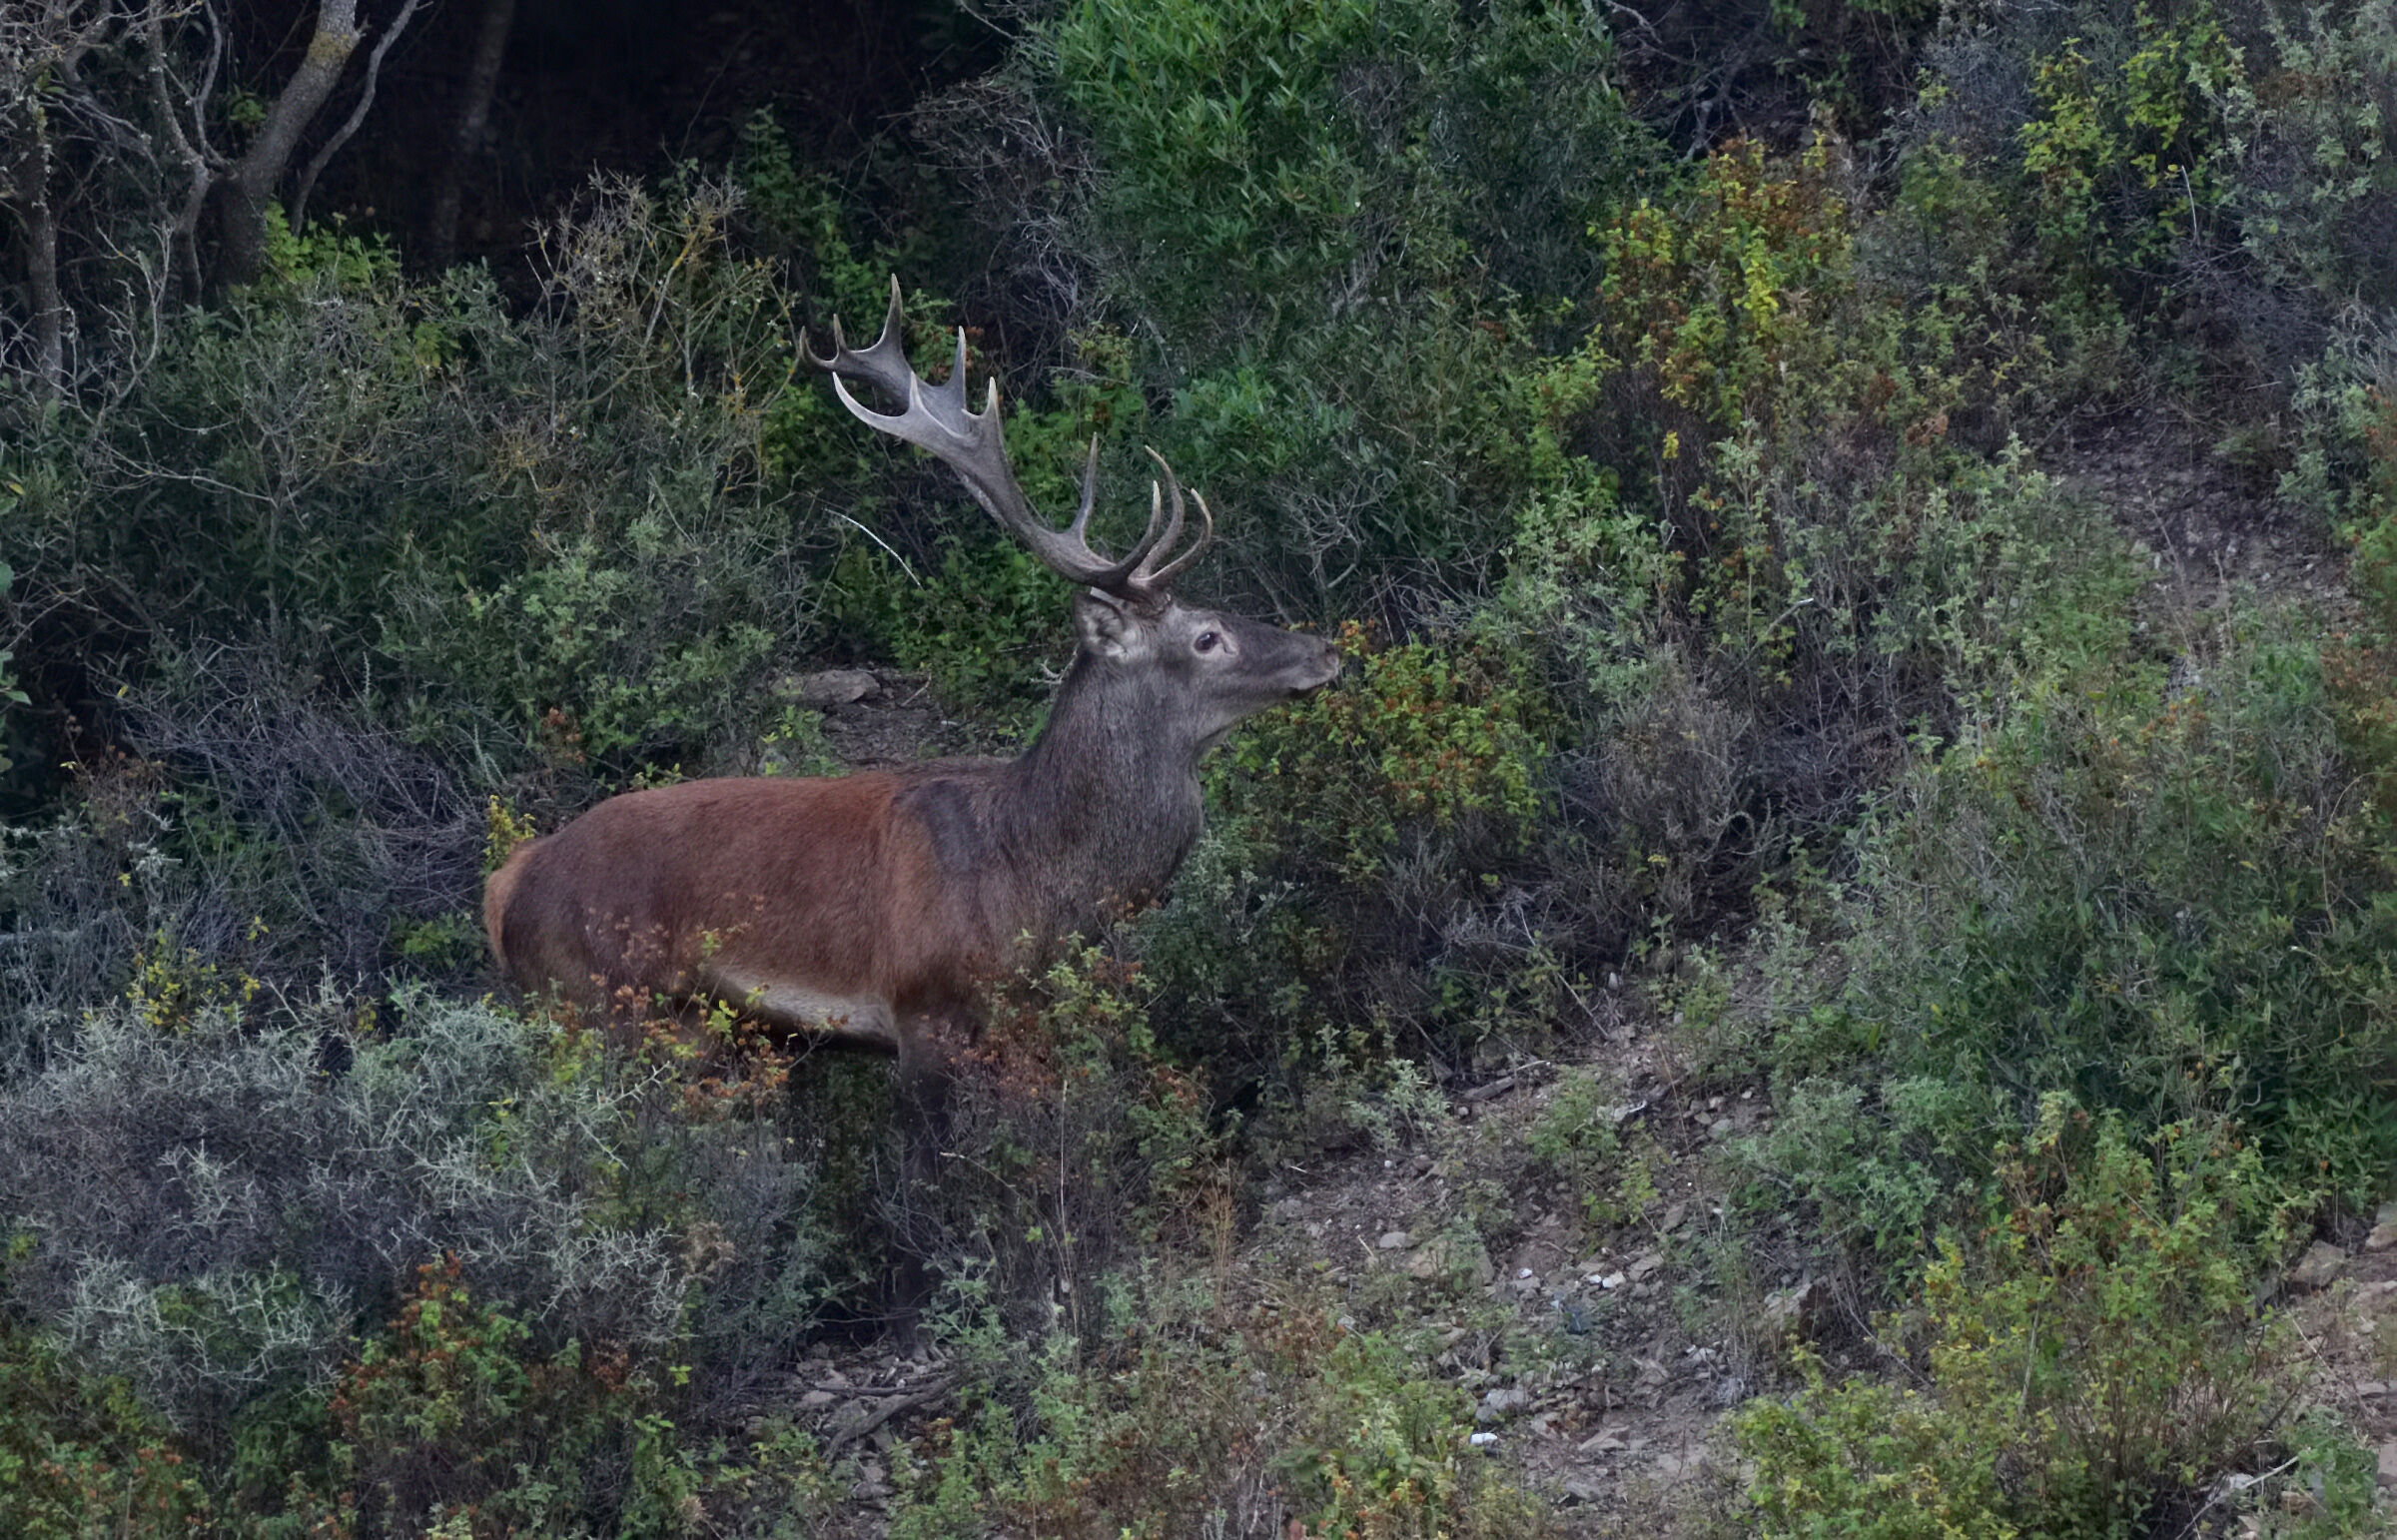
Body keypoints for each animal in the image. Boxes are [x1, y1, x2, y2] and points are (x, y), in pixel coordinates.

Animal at [482, 278, 1343, 1105]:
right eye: (1207, 637)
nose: (1327, 650)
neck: (1037, 889)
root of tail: (506, 884)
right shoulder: (926, 1008)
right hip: (607, 1007)